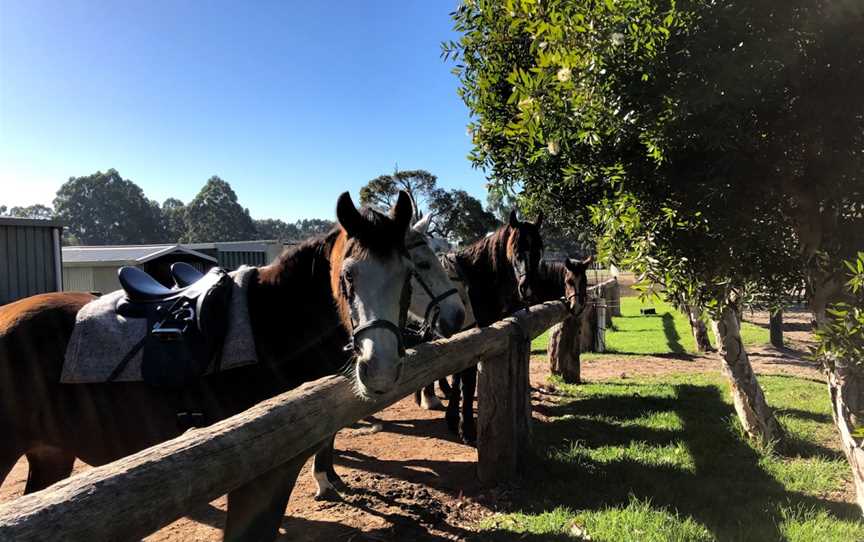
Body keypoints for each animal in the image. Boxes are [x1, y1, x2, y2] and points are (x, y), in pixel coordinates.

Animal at [0, 192, 416, 542]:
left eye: (408, 274)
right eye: (348, 274)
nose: (379, 368)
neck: (271, 328)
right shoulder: (256, 479)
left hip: (51, 454)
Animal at [438, 210, 548, 444]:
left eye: (539, 250)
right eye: (516, 249)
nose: (527, 288)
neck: (472, 283)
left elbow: (458, 377)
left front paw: (452, 419)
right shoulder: (472, 339)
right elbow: (468, 381)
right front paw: (467, 430)